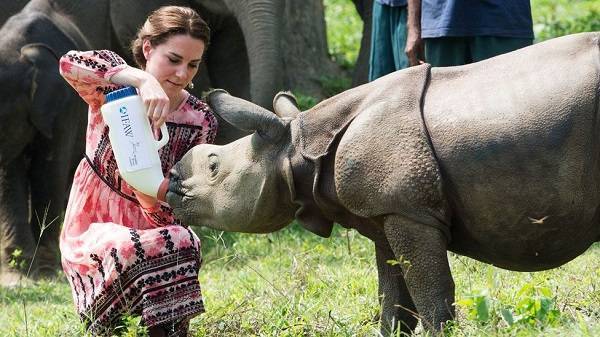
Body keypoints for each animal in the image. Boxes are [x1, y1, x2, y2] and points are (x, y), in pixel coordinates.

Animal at [166, 32, 600, 334]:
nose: (169, 180)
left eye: (213, 165)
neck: (296, 148)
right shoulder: (384, 212)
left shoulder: (409, 210)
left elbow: (430, 292)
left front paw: (443, 332)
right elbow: (394, 298)